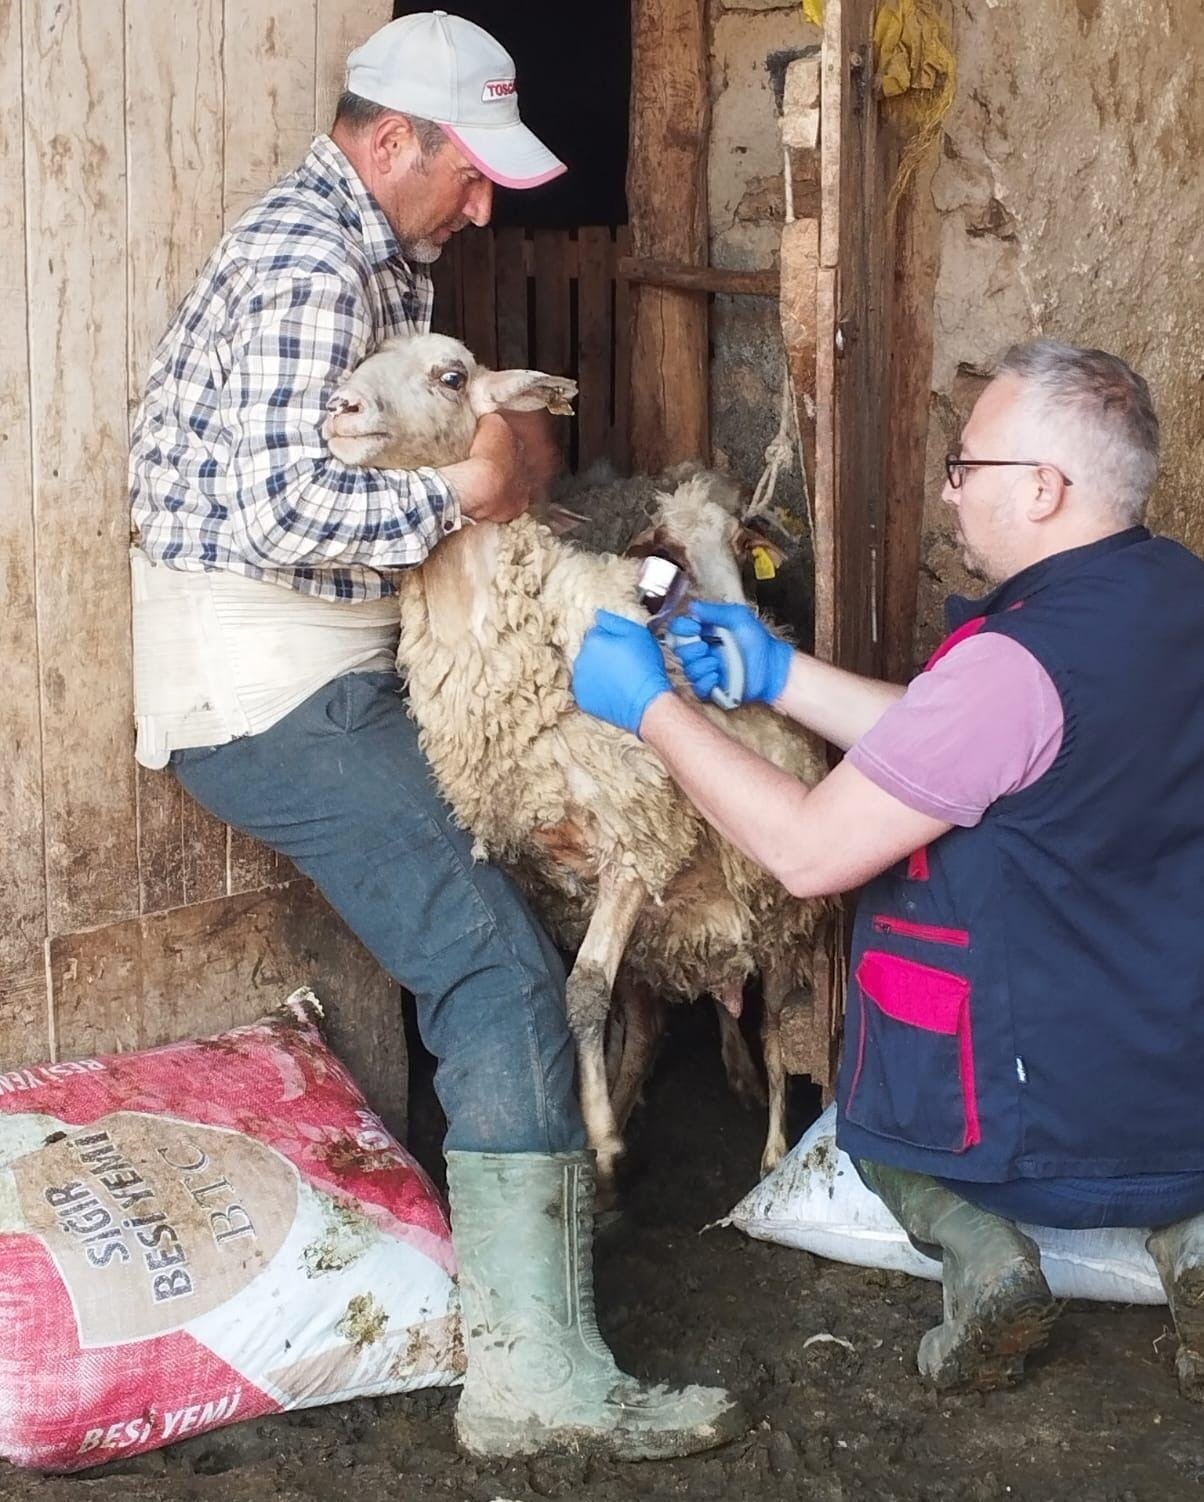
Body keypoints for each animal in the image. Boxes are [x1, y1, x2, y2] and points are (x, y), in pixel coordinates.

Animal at [321, 334, 828, 1177]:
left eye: (451, 376)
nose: (339, 408)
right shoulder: (550, 873)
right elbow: (593, 999)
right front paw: (604, 1128)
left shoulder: (636, 839)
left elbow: (583, 991)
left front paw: (595, 1126)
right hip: (675, 931)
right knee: (657, 1020)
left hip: (782, 912)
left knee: (777, 1030)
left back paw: (772, 1149)